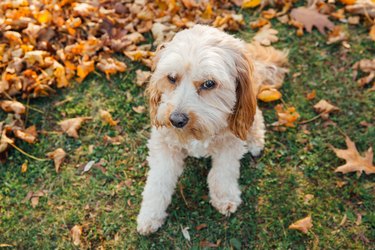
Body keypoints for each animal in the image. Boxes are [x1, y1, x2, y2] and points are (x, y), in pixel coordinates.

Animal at [137, 24, 288, 234]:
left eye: (209, 83)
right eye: (171, 78)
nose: (176, 120)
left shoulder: (230, 143)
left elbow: (223, 172)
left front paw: (225, 198)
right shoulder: (163, 144)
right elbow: (158, 181)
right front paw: (149, 215)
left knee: (256, 117)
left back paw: (255, 141)